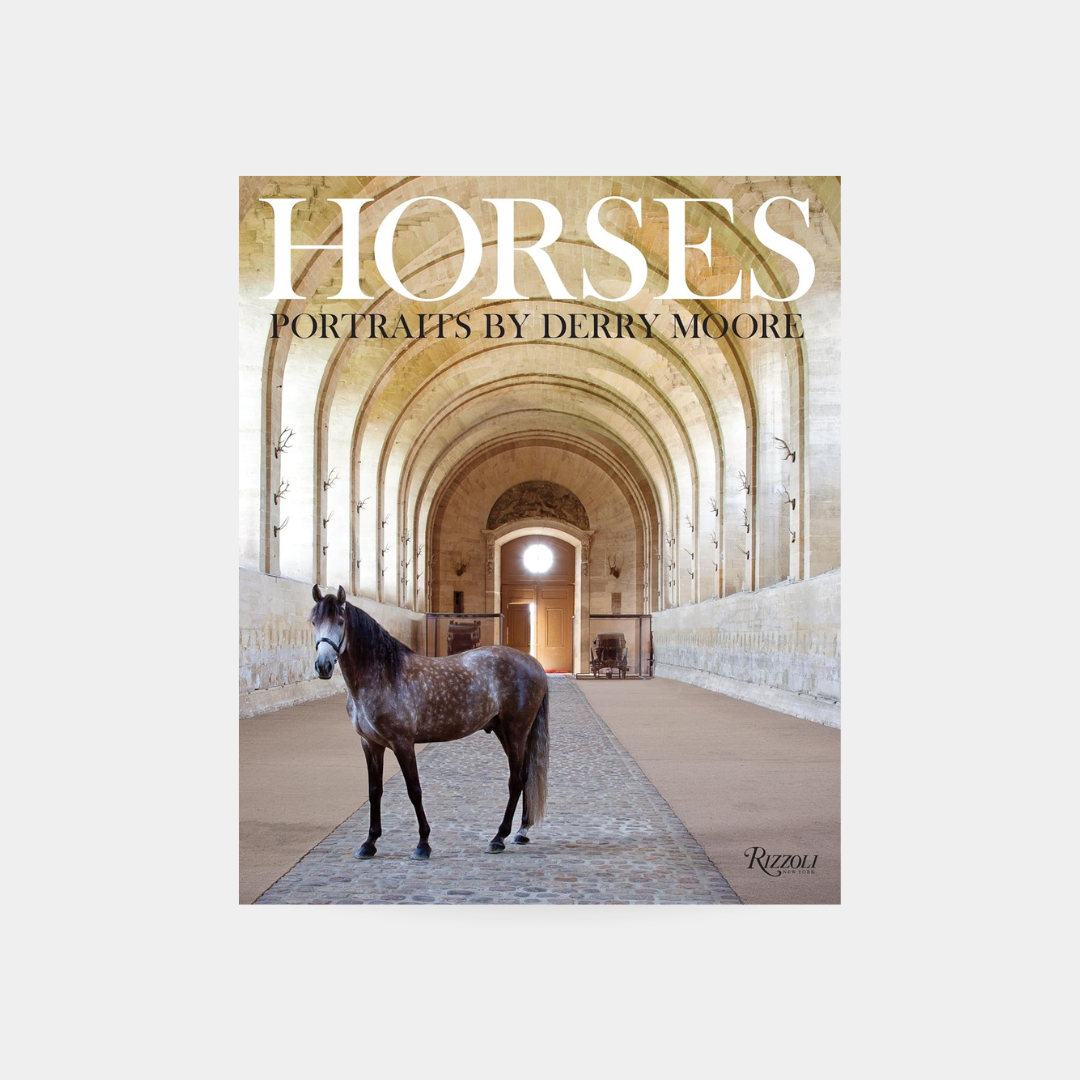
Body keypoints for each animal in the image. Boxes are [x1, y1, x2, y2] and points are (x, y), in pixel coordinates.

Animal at [310, 584, 550, 860]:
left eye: (340, 621)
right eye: (314, 621)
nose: (323, 666)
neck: (385, 674)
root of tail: (535, 664)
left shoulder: (403, 743)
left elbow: (414, 790)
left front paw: (423, 843)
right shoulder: (370, 744)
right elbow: (374, 791)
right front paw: (369, 842)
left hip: (515, 732)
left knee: (516, 780)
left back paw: (499, 838)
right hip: (507, 731)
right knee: (525, 776)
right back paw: (522, 831)